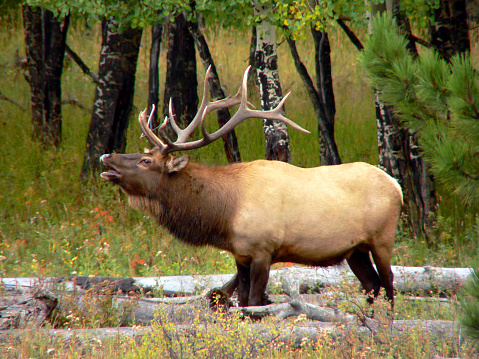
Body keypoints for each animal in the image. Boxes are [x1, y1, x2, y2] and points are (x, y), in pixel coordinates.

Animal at [101, 67, 404, 306]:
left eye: (145, 160)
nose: (107, 156)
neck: (225, 215)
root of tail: (397, 186)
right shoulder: (241, 253)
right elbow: (243, 301)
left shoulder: (263, 248)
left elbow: (256, 303)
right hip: (355, 249)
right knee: (372, 286)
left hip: (382, 237)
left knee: (388, 283)